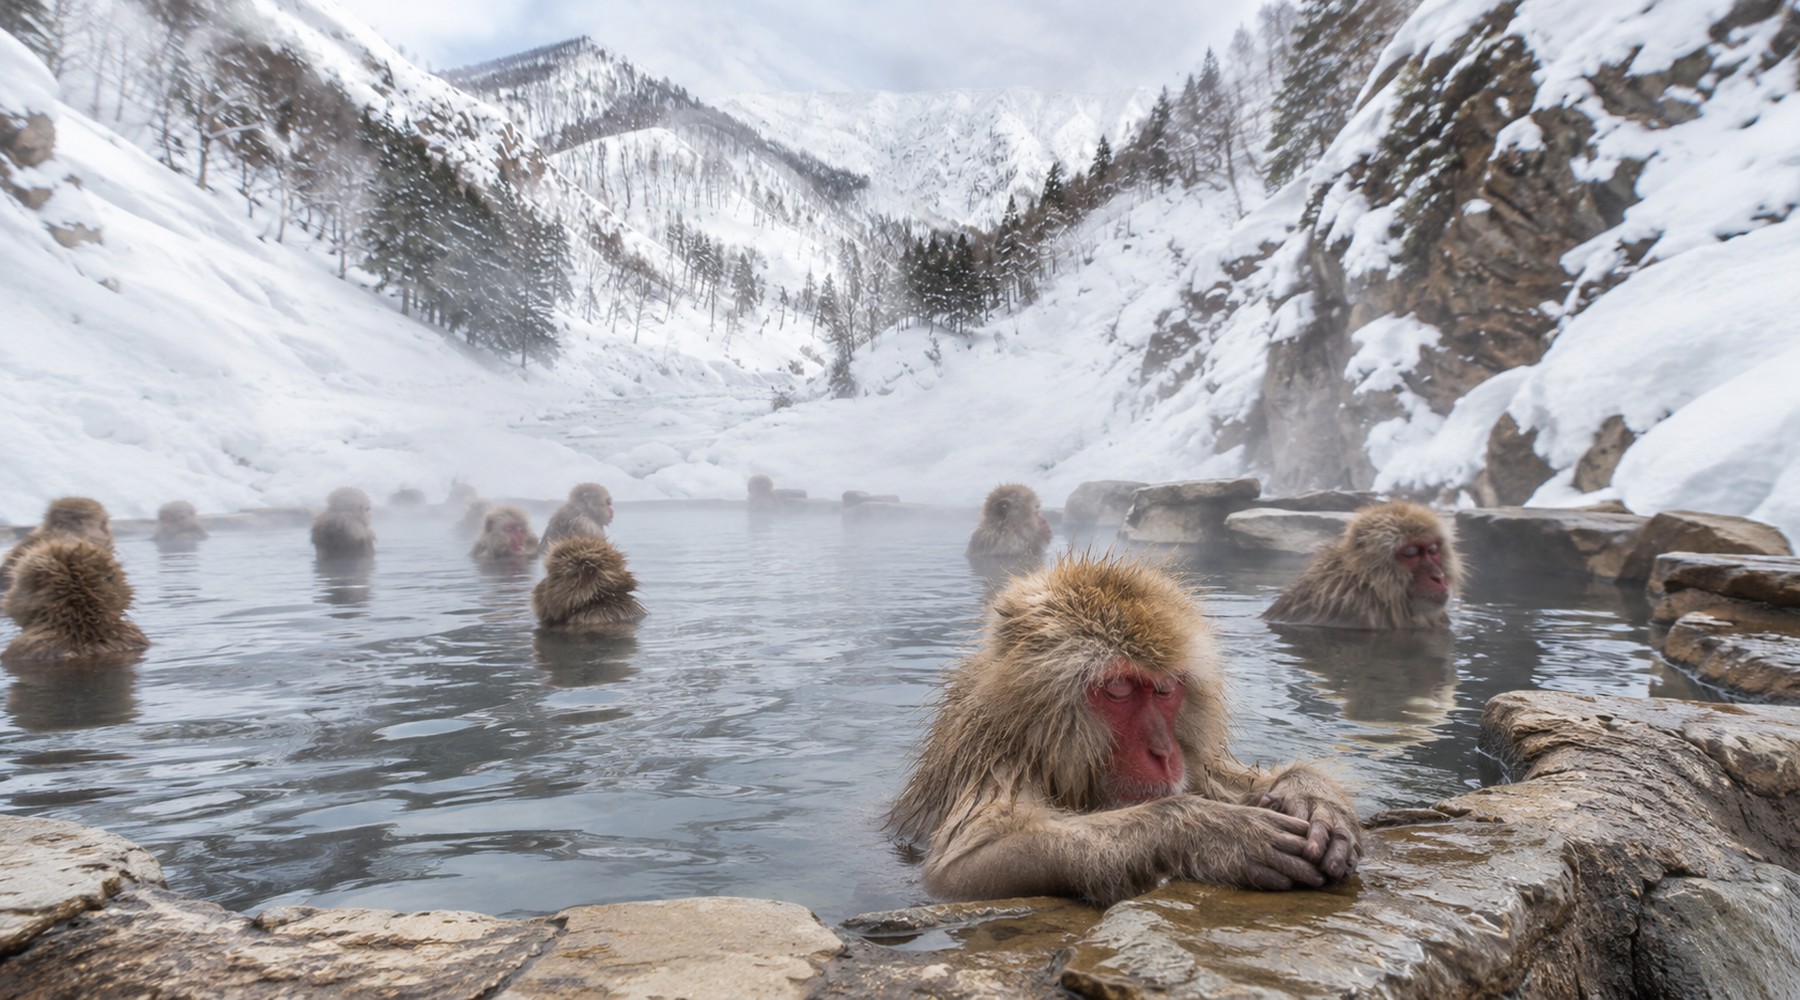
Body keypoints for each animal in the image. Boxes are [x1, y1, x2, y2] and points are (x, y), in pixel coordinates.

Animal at [888, 553, 1362, 906]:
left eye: (1165, 689)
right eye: (1118, 689)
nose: (1164, 753)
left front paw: (1310, 796)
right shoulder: (989, 752)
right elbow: (963, 868)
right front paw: (1209, 832)